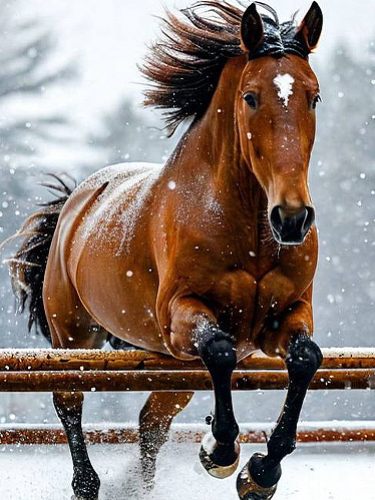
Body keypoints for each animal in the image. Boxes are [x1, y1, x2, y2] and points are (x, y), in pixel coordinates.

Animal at [5, 1, 324, 498]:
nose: (291, 218)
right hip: (72, 335)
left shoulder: (285, 316)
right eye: (250, 97)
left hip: (173, 366)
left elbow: (306, 360)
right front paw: (221, 451)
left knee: (152, 421)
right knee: (69, 399)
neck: (249, 232)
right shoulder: (180, 314)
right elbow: (221, 351)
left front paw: (259, 473)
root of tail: (75, 202)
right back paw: (87, 482)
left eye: (314, 97)